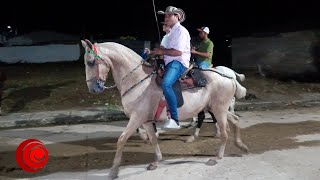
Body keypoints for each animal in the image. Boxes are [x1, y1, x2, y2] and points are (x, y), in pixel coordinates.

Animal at [81, 39, 249, 179]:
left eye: (90, 62)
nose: (93, 88)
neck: (137, 80)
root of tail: (229, 76)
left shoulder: (137, 118)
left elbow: (121, 140)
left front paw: (114, 171)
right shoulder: (146, 121)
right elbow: (153, 139)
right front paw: (156, 161)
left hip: (219, 109)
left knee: (225, 131)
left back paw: (217, 157)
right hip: (217, 108)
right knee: (235, 119)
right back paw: (241, 146)